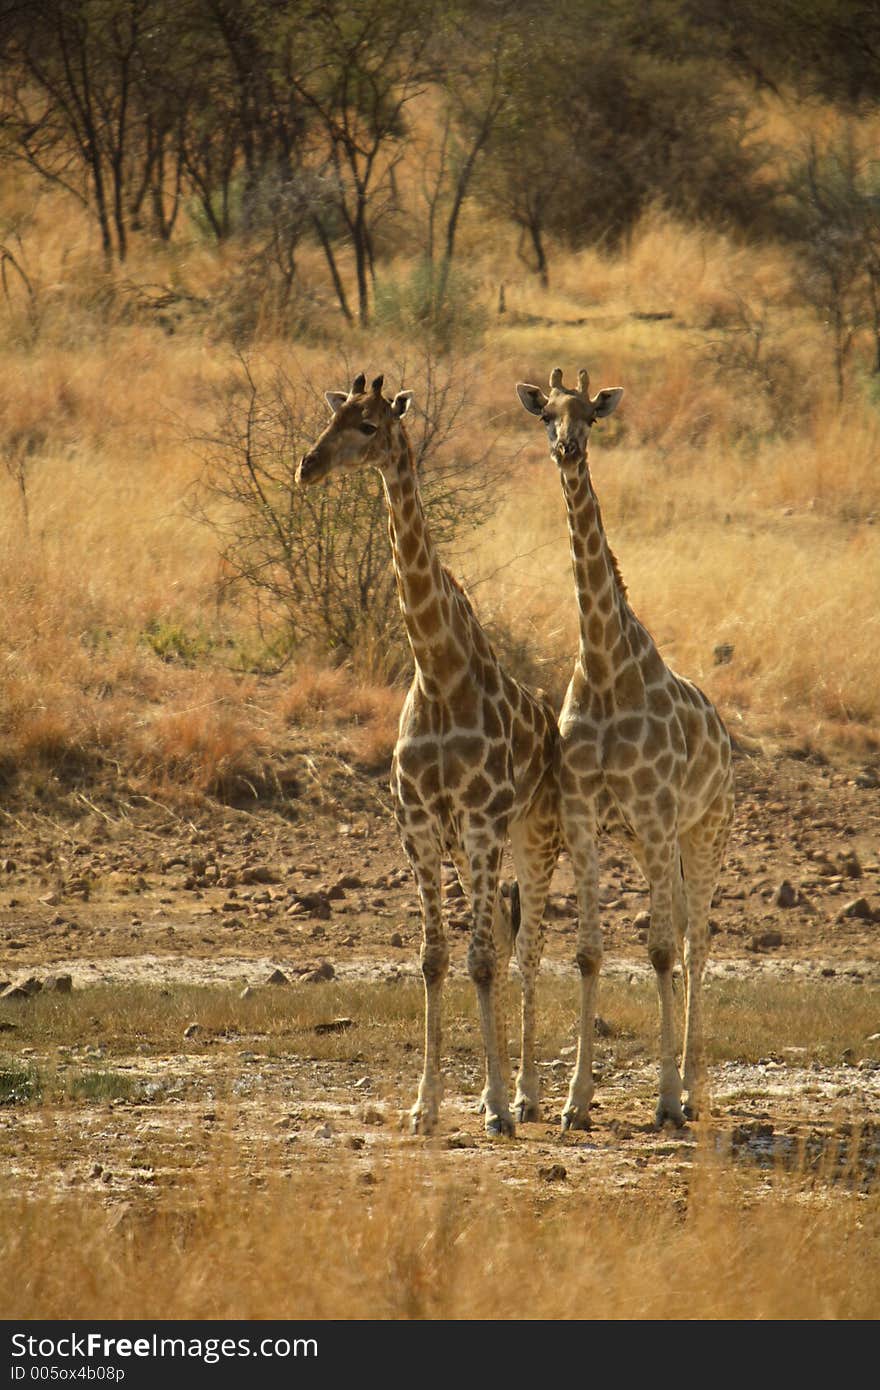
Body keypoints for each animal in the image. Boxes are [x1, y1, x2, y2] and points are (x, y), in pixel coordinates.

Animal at [294, 372, 556, 1139]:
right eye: (334, 416)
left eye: (371, 425)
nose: (307, 466)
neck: (438, 672)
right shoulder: (417, 828)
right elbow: (436, 958)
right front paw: (426, 1104)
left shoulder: (481, 825)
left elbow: (481, 960)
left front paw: (496, 1105)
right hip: (479, 848)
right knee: (505, 938)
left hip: (535, 836)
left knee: (526, 949)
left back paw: (528, 1096)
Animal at [514, 366, 734, 1128]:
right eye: (545, 413)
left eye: (592, 415)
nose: (567, 447)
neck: (609, 667)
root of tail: (727, 733)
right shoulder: (586, 815)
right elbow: (587, 952)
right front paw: (574, 1103)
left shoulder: (657, 813)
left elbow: (661, 949)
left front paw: (665, 1098)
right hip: (649, 841)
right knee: (684, 938)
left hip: (703, 831)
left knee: (696, 943)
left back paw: (691, 1090)